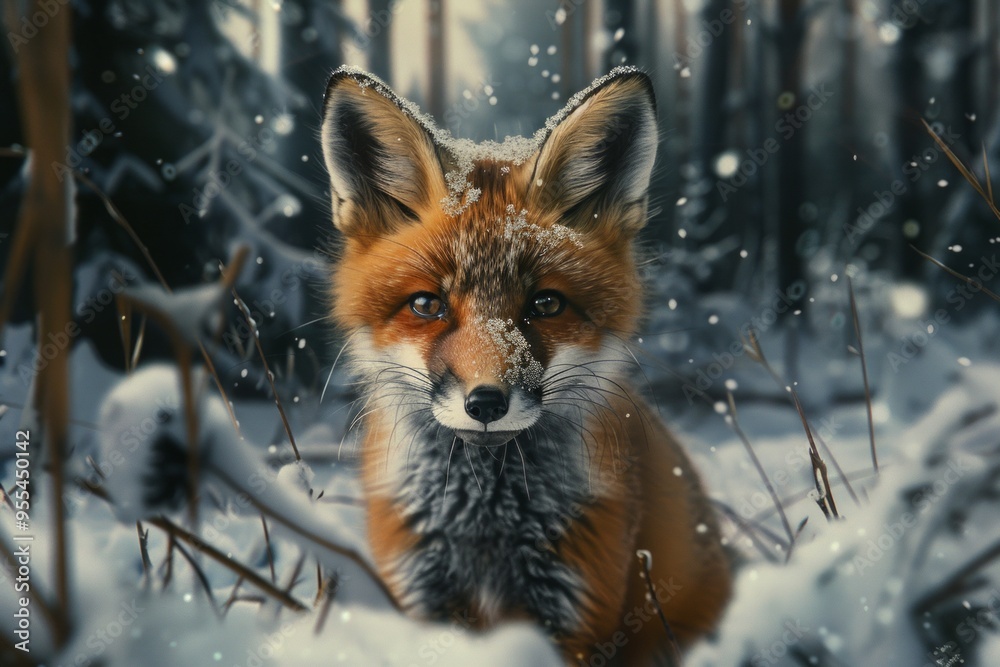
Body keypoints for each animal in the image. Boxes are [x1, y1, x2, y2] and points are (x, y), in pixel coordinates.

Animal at [320, 65, 731, 665]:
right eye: (426, 305)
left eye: (546, 304)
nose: (486, 402)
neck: (486, 524)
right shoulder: (420, 593)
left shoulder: (577, 603)